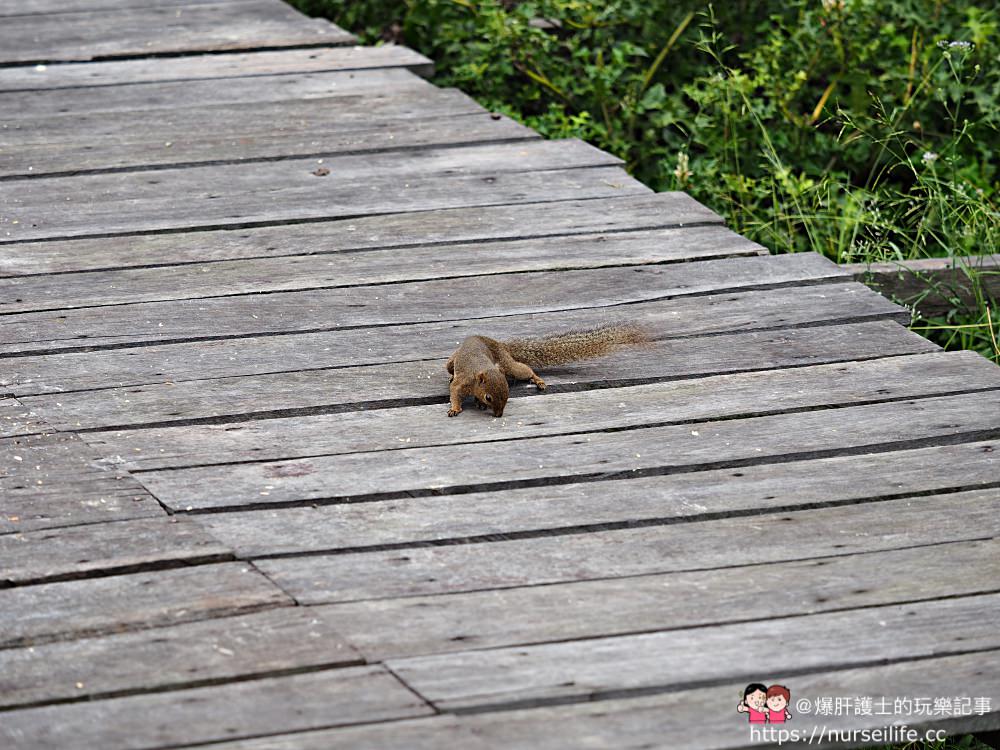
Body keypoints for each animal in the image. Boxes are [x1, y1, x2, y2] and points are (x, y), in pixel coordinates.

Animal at [446, 322, 648, 418]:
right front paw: (455, 408)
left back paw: (538, 380)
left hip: (510, 365)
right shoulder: (463, 381)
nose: (499, 415)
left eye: (508, 395)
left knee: (525, 370)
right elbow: (455, 391)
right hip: (451, 363)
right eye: (489, 397)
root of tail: (499, 344)